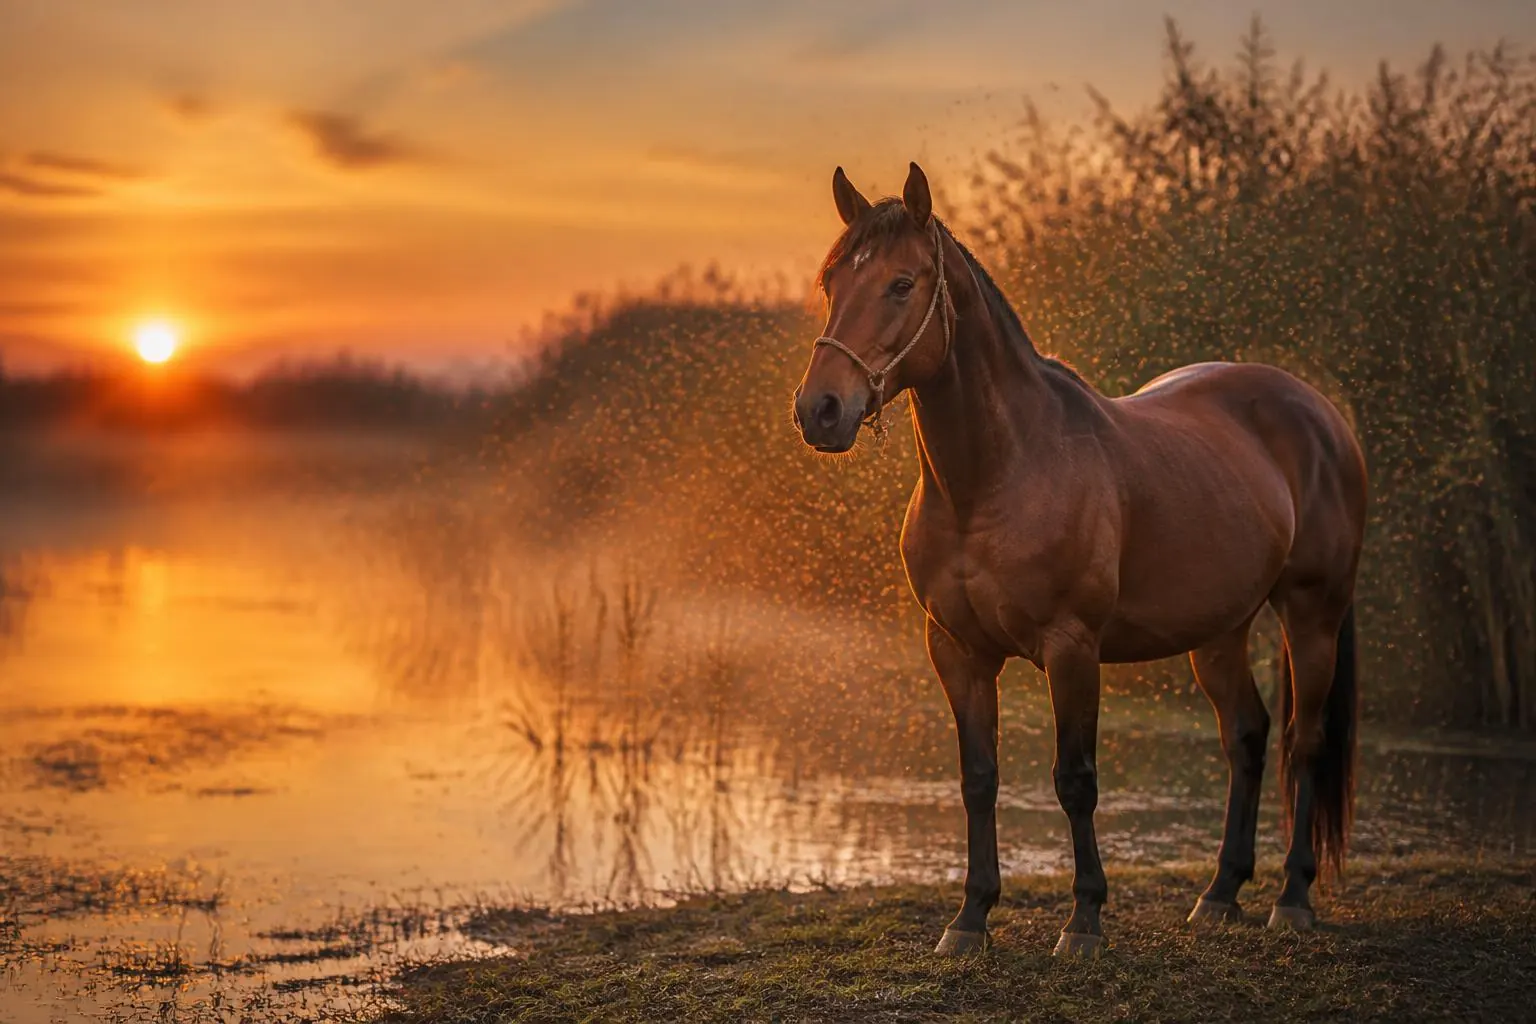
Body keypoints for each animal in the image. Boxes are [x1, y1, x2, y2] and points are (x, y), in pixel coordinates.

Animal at [791, 162, 1367, 958]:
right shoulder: (957, 650)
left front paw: (1084, 920)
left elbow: (1076, 779)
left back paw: (1292, 898)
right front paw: (970, 918)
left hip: (1311, 614)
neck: (994, 476)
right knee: (1247, 738)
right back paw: (1220, 894)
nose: (819, 410)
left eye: (901, 284)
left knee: (1303, 741)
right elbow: (979, 777)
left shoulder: (1072, 648)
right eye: (831, 283)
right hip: (1220, 632)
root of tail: (1322, 413)